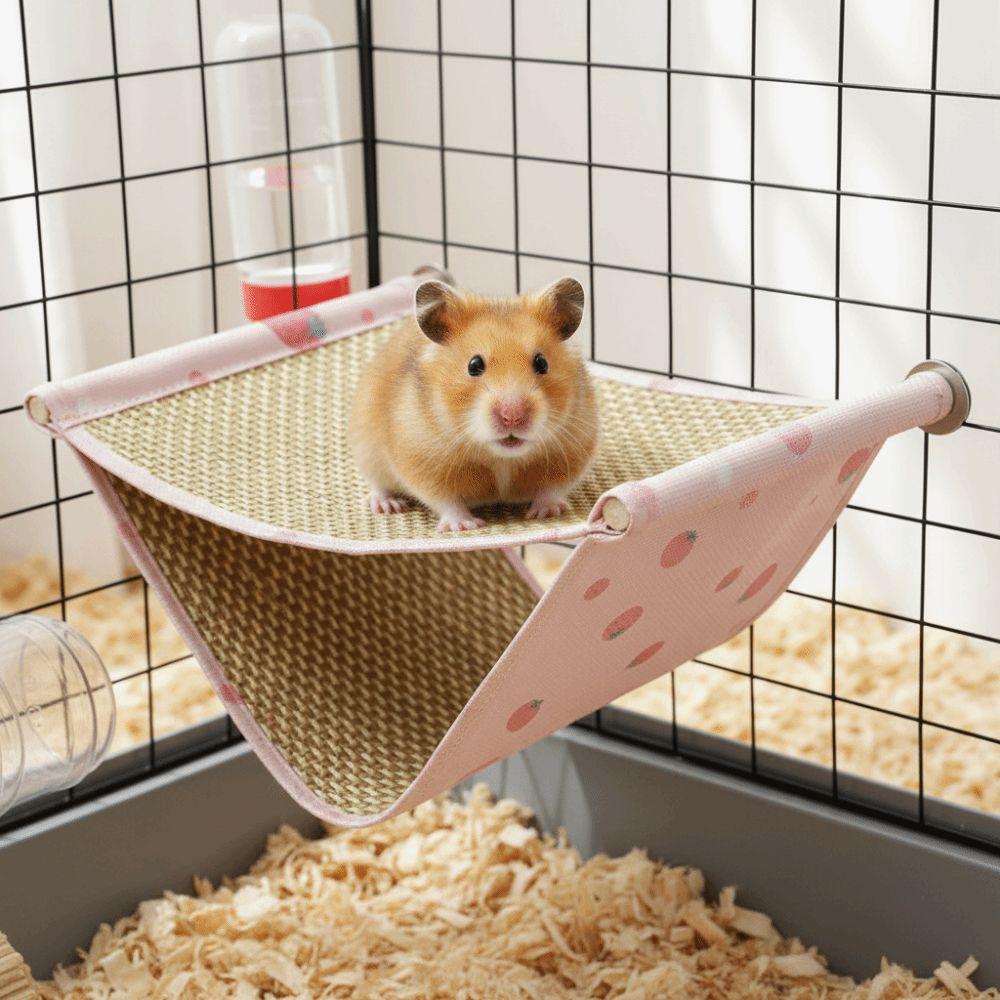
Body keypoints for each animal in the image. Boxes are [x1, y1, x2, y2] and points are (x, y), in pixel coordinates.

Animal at [349, 277, 599, 532]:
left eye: (542, 363)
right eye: (474, 365)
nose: (512, 416)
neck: (501, 459)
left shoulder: (574, 447)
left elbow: (552, 489)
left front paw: (547, 512)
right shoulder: (421, 459)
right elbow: (446, 500)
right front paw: (464, 526)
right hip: (367, 448)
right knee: (378, 485)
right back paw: (388, 506)